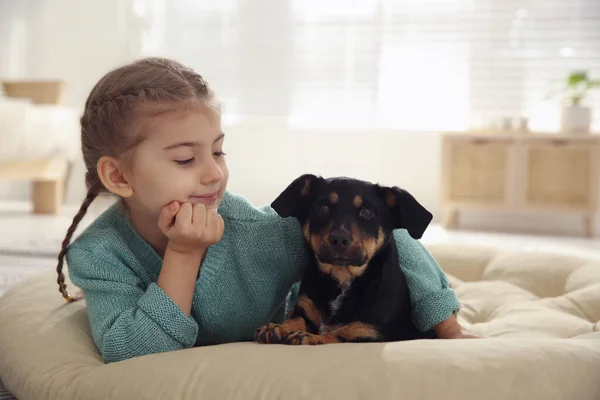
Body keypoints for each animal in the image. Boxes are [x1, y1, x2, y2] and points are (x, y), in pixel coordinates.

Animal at [255, 175, 438, 346]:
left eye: (367, 211)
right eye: (322, 208)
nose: (339, 239)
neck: (343, 277)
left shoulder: (369, 332)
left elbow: (340, 334)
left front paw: (309, 337)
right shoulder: (304, 309)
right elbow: (295, 319)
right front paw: (278, 327)